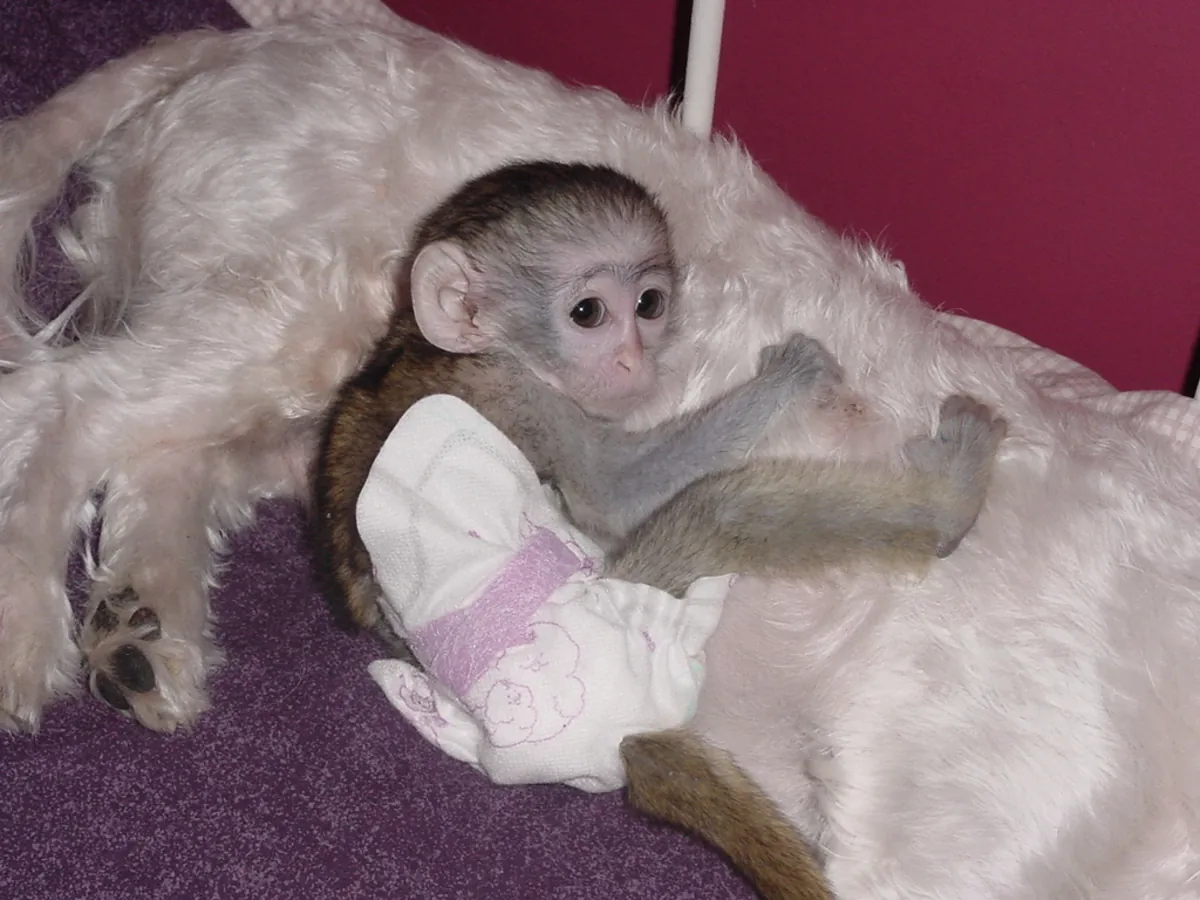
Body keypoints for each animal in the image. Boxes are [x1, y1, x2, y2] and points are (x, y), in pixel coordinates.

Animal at [311, 160, 1006, 900]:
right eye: (589, 313)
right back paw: (951, 501)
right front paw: (791, 376)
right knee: (722, 510)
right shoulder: (522, 392)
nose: (634, 360)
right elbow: (615, 496)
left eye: (649, 304)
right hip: (618, 625)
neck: (440, 343)